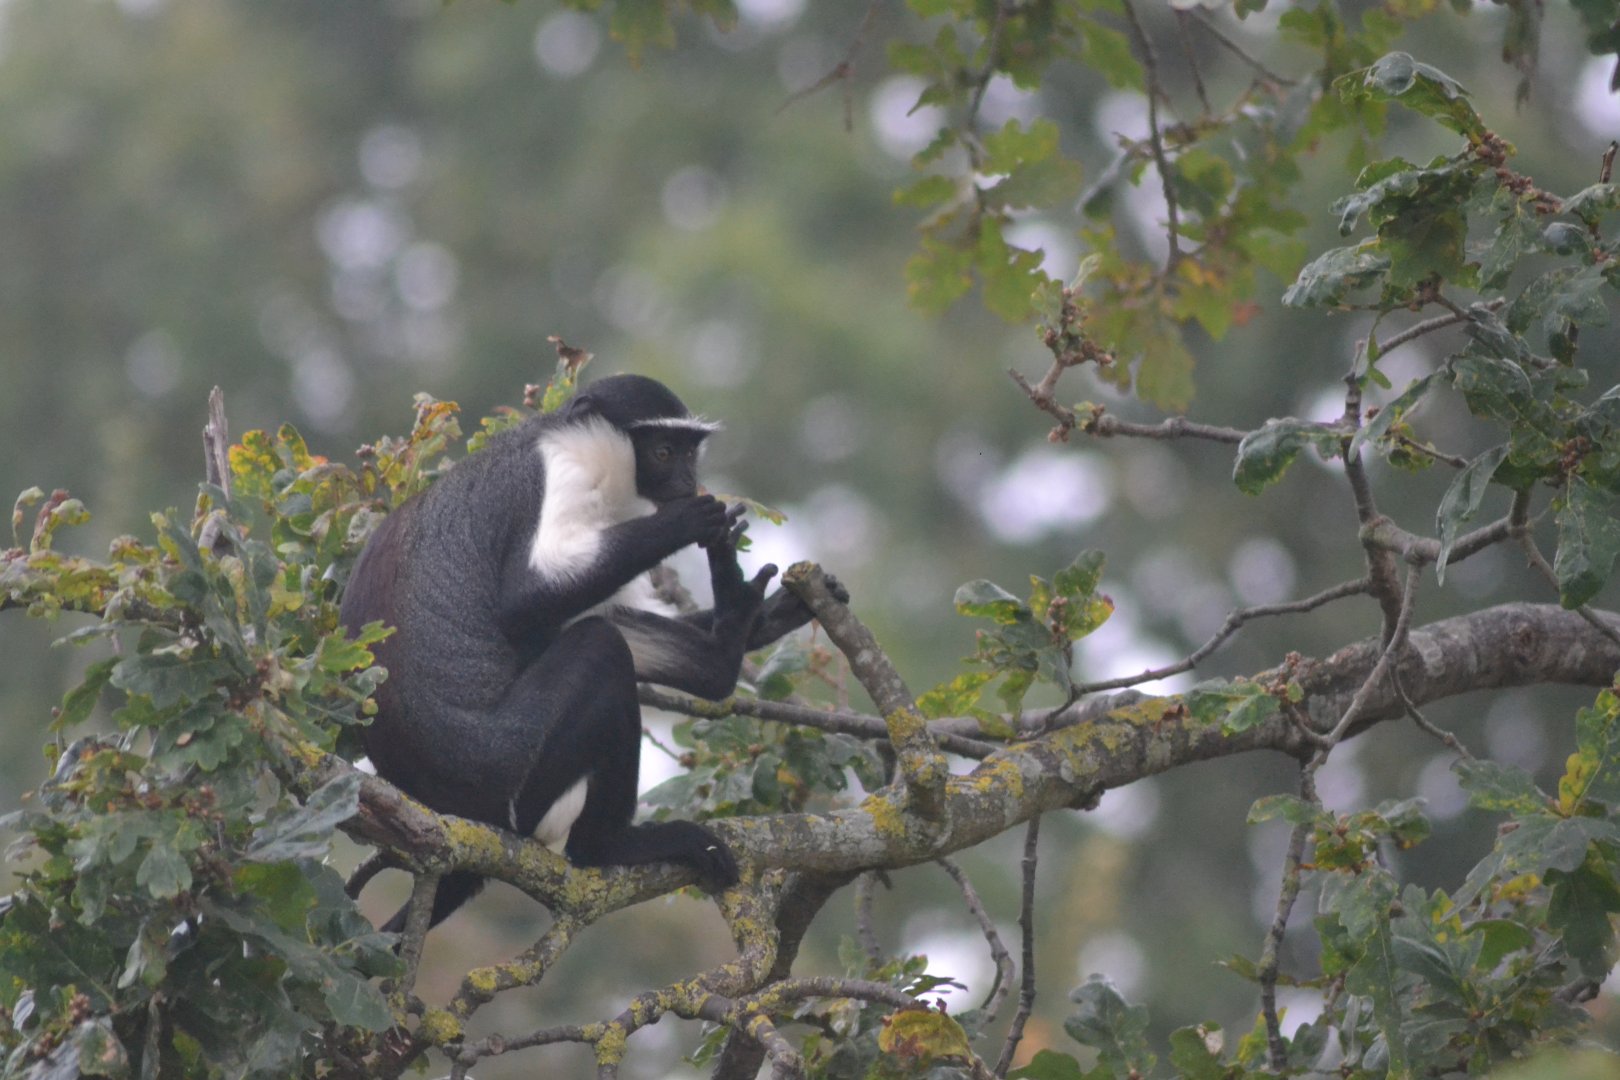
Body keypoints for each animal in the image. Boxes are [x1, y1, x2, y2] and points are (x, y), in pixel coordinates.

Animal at [339, 374, 837, 931]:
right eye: (664, 452)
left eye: (690, 452)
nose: (688, 482)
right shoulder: (566, 473)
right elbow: (523, 602)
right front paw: (688, 526)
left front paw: (774, 616)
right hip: (519, 775)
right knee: (600, 648)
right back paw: (609, 843)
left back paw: (726, 645)